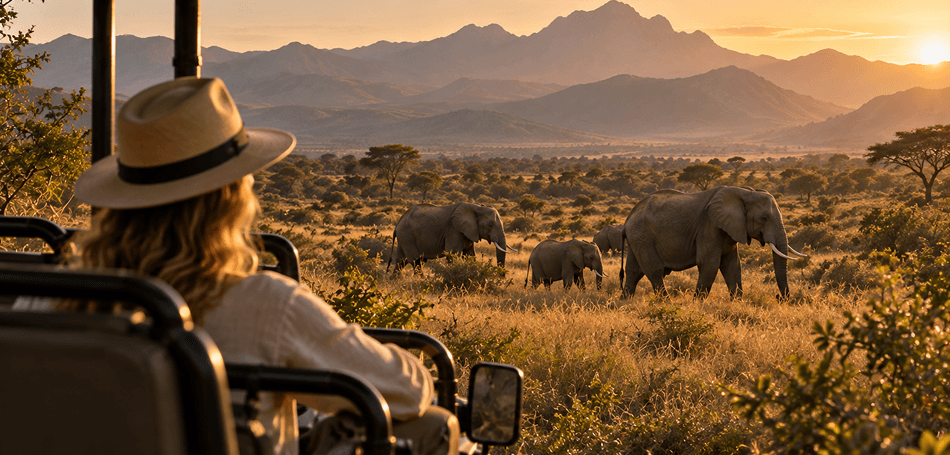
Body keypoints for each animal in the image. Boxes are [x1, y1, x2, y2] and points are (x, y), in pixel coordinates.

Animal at [620, 186, 806, 299]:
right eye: (764, 218)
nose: (780, 297)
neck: (746, 192)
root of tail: (628, 219)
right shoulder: (709, 226)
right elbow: (709, 263)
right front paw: (697, 305)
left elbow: (732, 265)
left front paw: (737, 303)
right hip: (643, 236)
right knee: (655, 270)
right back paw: (666, 303)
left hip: (638, 238)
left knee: (633, 271)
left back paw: (625, 302)